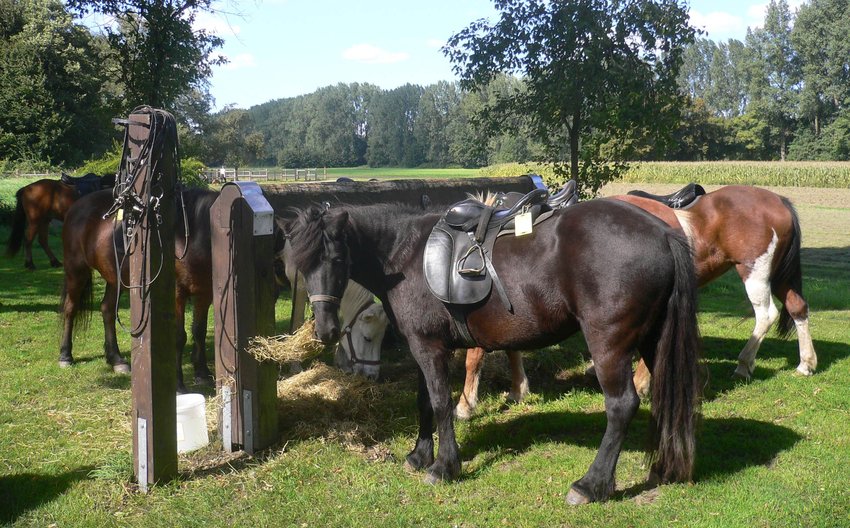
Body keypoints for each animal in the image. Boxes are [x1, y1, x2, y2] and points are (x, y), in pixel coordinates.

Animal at [458, 184, 816, 418]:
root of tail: (778, 201)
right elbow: (509, 344)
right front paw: (518, 389)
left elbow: (476, 355)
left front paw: (466, 404)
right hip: (778, 275)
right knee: (797, 308)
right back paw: (805, 363)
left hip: (754, 272)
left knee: (766, 315)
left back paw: (742, 363)